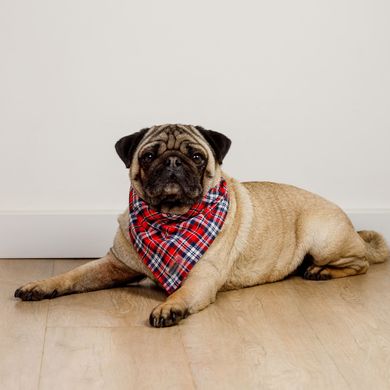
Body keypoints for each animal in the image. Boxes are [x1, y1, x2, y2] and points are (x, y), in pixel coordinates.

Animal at [13, 124, 388, 326]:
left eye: (196, 156)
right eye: (149, 156)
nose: (173, 162)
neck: (171, 217)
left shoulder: (202, 277)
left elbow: (183, 292)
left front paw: (170, 306)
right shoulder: (113, 264)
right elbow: (73, 275)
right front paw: (41, 286)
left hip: (322, 237)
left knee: (361, 264)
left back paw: (321, 271)